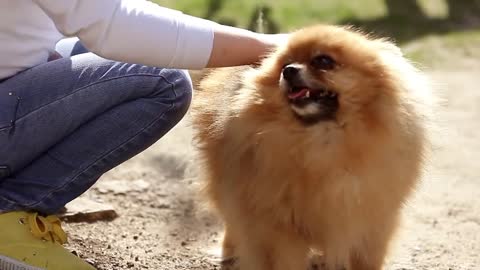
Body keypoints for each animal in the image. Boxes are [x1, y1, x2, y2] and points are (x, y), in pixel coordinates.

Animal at [190, 24, 432, 268]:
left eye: (323, 61)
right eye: (285, 64)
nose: (288, 70)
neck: (322, 141)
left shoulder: (369, 222)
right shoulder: (276, 226)